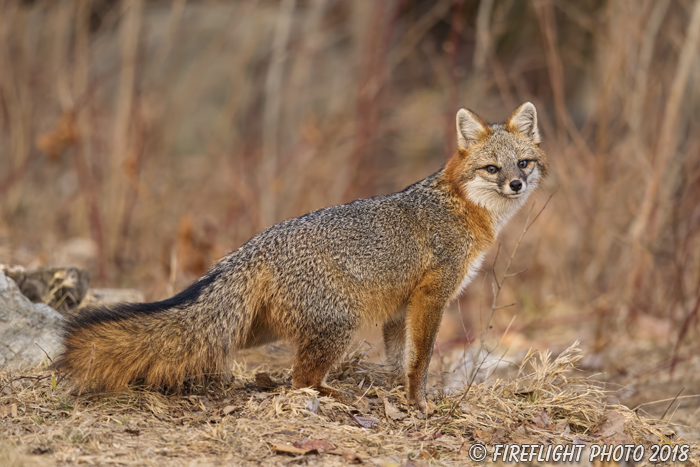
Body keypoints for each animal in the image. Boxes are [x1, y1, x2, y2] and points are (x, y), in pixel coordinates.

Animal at [54, 103, 548, 414]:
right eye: (492, 168)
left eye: (523, 163)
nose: (516, 185)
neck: (461, 206)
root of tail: (257, 244)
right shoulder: (431, 296)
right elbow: (421, 358)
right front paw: (417, 402)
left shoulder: (400, 306)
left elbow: (398, 358)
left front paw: (397, 390)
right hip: (339, 324)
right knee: (299, 379)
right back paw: (332, 395)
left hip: (258, 329)